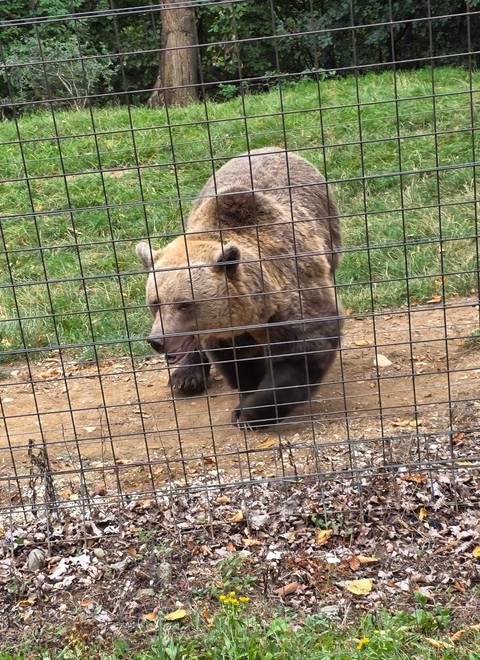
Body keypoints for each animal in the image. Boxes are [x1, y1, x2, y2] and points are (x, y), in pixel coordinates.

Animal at [136, 147, 342, 429]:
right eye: (155, 303)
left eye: (184, 304)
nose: (157, 340)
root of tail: (272, 148)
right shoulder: (226, 332)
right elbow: (238, 362)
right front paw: (246, 397)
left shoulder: (295, 288)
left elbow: (304, 351)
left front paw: (249, 412)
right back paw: (185, 377)